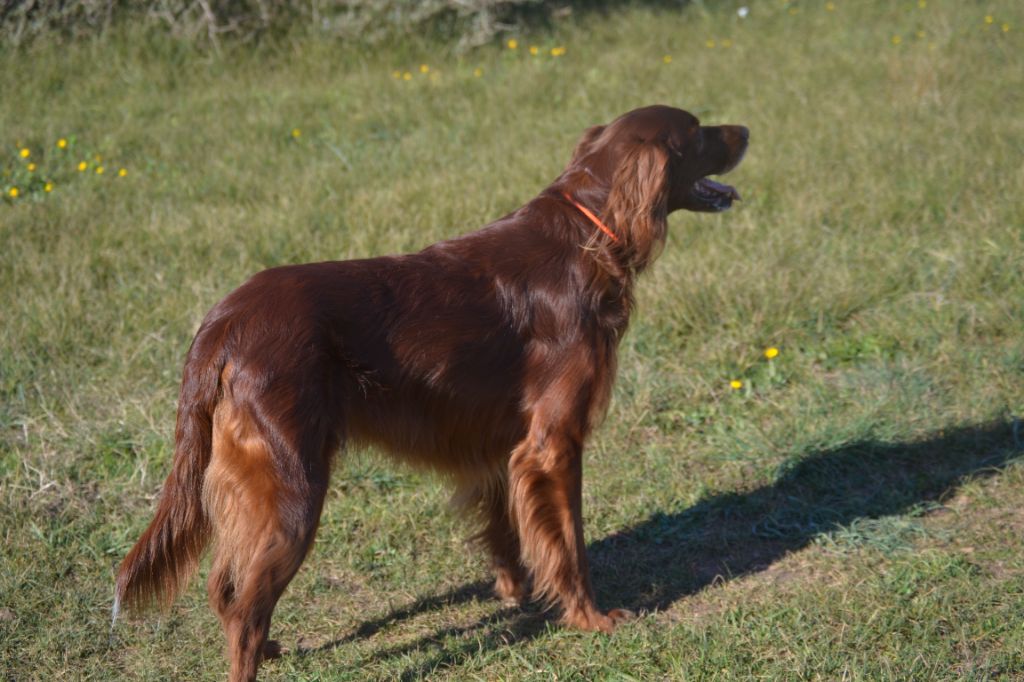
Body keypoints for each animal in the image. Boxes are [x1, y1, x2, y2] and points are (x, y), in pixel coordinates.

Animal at [116, 103, 749, 675]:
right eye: (698, 131)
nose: (746, 128)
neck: (587, 234)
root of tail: (223, 322)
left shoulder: (503, 445)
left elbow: (509, 531)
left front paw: (517, 591)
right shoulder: (553, 444)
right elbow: (570, 544)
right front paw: (590, 618)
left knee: (228, 588)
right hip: (293, 487)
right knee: (243, 609)